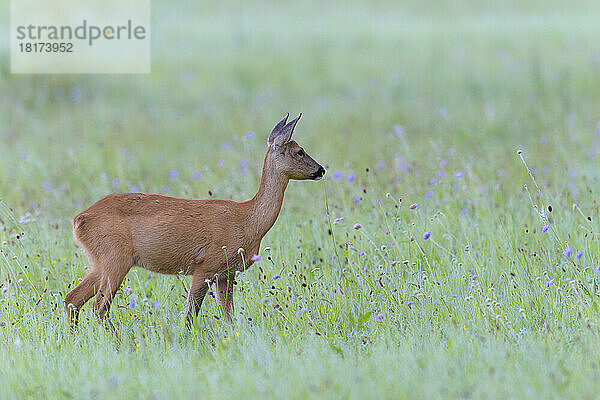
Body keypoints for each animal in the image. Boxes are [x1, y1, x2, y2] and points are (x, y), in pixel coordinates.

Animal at [63, 113, 326, 332]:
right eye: (300, 151)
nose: (321, 169)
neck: (249, 220)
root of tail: (79, 219)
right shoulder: (206, 265)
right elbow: (190, 315)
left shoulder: (226, 273)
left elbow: (229, 317)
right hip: (115, 257)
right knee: (99, 306)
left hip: (100, 260)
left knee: (72, 299)